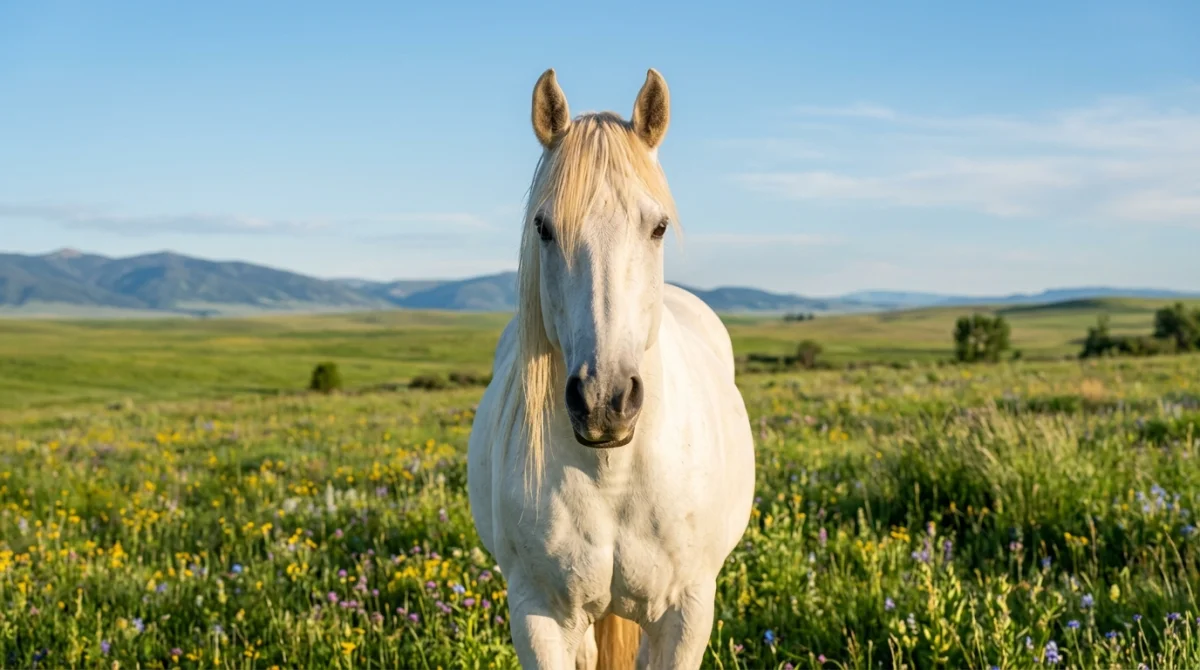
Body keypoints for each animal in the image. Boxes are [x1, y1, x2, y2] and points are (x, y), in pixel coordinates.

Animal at [467, 67, 756, 670]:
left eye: (659, 227)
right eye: (544, 227)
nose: (605, 401)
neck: (613, 475)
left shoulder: (686, 613)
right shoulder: (538, 615)